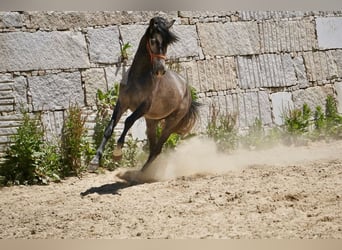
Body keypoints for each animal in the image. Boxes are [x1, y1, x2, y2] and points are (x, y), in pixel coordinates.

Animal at [89, 15, 199, 172]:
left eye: (167, 44)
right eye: (153, 41)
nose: (160, 70)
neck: (138, 78)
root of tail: (187, 90)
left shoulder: (143, 107)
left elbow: (128, 121)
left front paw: (117, 153)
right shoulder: (122, 103)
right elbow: (109, 128)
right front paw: (94, 161)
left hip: (170, 123)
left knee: (157, 149)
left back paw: (141, 173)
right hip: (151, 121)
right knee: (153, 147)